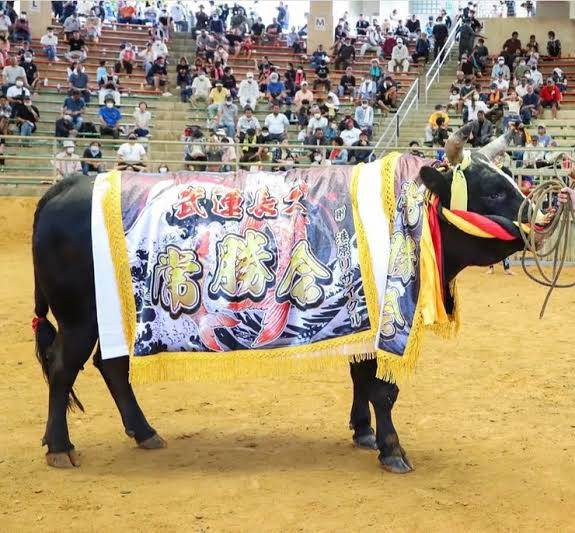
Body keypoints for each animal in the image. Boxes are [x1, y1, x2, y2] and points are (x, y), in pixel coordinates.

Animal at [30, 153, 528, 470]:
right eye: (493, 193)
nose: (538, 212)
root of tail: (69, 184)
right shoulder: (385, 317)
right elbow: (383, 389)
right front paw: (392, 449)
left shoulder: (361, 317)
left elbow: (360, 376)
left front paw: (363, 431)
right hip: (79, 319)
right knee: (62, 368)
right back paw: (60, 446)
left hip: (109, 319)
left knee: (110, 367)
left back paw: (144, 431)